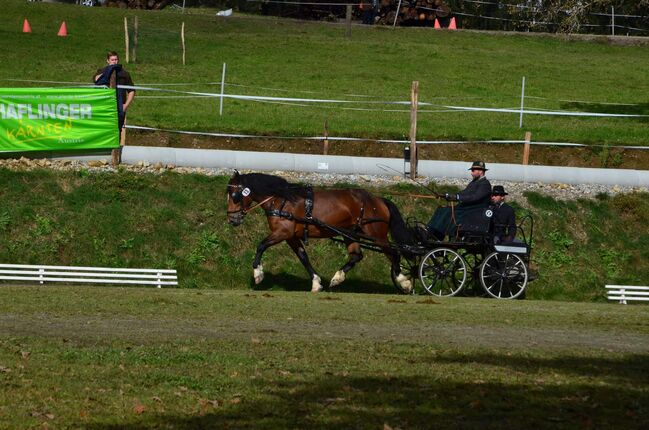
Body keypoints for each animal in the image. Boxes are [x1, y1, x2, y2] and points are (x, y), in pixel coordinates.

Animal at [225, 171, 412, 292]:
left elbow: (261, 245)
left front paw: (258, 273)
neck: (281, 200)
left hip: (377, 235)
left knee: (394, 254)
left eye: (234, 195)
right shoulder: (291, 237)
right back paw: (337, 278)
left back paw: (404, 282)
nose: (232, 219)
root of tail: (378, 199)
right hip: (350, 233)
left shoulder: (282, 232)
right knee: (356, 256)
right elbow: (303, 257)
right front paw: (316, 283)